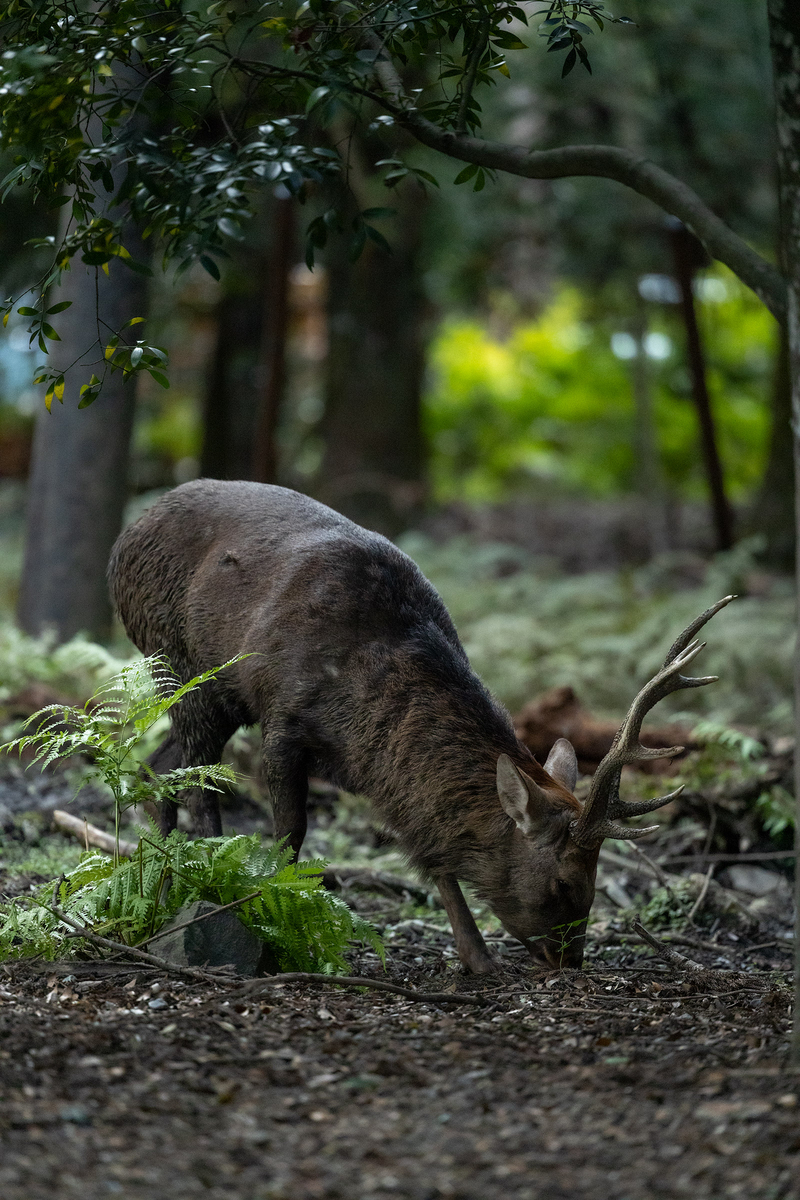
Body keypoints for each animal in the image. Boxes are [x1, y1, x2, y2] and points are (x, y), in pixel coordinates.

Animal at [106, 477, 734, 974]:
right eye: (566, 885)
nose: (570, 961)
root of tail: (122, 541)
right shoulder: (283, 716)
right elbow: (290, 831)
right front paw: (272, 914)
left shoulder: (386, 773)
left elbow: (430, 846)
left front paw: (478, 960)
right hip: (183, 663)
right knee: (191, 775)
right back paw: (198, 884)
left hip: (210, 694)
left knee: (160, 765)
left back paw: (160, 884)